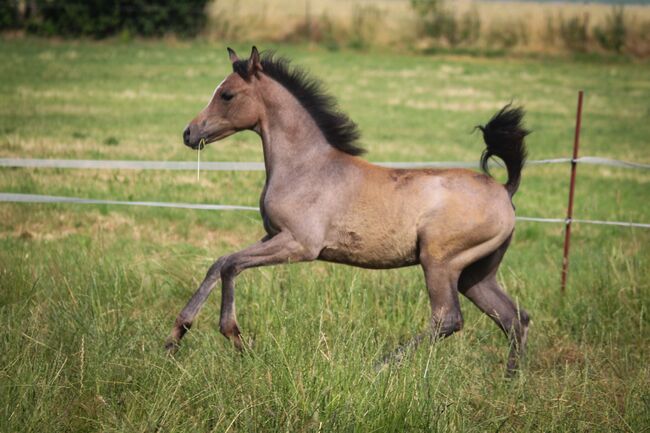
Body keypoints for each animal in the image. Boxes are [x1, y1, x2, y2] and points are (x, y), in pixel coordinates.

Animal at [165, 45, 528, 372]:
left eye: (226, 95)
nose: (188, 132)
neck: (306, 167)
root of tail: (504, 190)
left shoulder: (300, 245)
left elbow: (231, 266)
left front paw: (236, 338)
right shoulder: (274, 235)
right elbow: (219, 263)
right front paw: (175, 336)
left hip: (440, 263)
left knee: (448, 319)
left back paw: (378, 368)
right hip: (475, 274)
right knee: (514, 317)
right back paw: (511, 379)